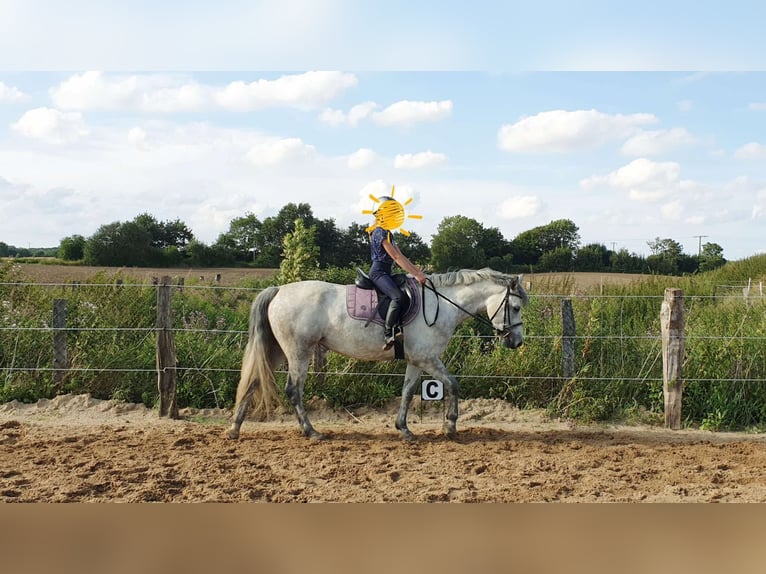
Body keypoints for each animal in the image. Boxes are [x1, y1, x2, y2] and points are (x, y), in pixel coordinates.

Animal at [228, 268, 528, 440]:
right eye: (514, 307)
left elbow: (408, 391)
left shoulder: (416, 360)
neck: (441, 304)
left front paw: (404, 429)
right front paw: (450, 426)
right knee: (293, 390)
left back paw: (234, 429)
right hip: (298, 352)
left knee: (253, 381)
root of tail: (279, 290)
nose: (516, 342)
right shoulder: (428, 358)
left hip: (278, 350)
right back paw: (311, 432)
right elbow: (453, 384)